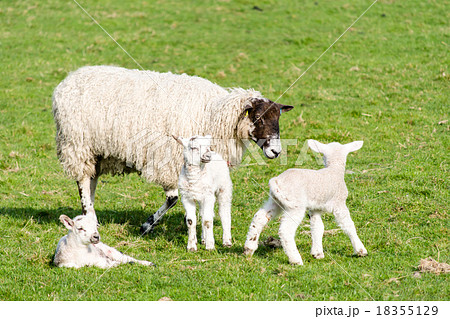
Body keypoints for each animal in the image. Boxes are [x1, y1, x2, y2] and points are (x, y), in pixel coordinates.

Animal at [52, 65, 294, 235]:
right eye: (259, 118)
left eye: (278, 118)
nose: (276, 152)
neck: (213, 113)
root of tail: (67, 81)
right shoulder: (170, 159)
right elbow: (173, 198)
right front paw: (146, 226)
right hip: (77, 144)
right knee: (83, 182)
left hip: (96, 151)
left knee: (91, 181)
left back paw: (92, 218)